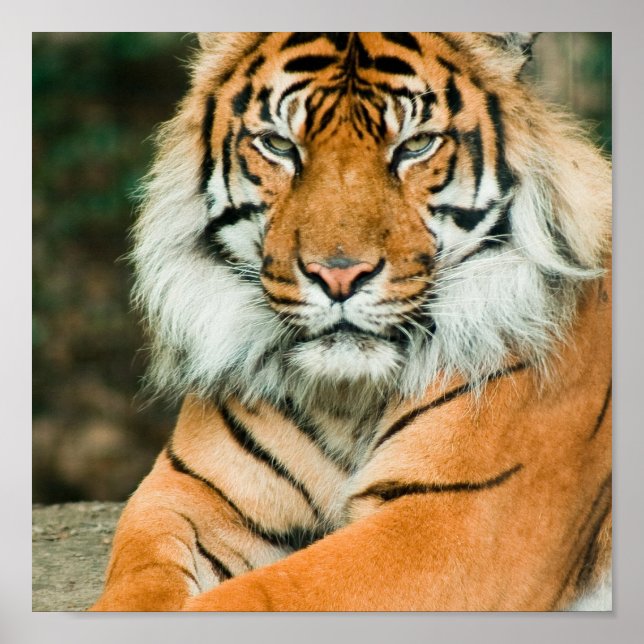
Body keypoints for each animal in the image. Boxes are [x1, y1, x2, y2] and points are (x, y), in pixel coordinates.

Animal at [90, 32, 612, 612]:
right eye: (279, 146)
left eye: (415, 146)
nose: (338, 276)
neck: (346, 399)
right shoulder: (187, 492)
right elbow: (139, 579)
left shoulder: (458, 519)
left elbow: (268, 593)